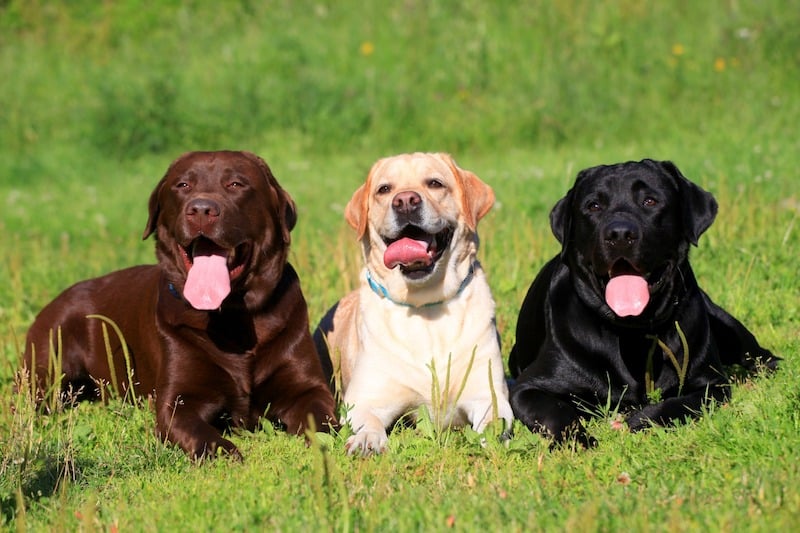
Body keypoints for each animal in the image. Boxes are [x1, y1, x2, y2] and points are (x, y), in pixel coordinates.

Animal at [510, 158, 780, 444]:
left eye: (650, 201)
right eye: (593, 206)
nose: (619, 234)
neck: (633, 333)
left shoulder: (712, 383)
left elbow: (676, 403)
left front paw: (639, 420)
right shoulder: (528, 388)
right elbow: (557, 412)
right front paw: (580, 441)